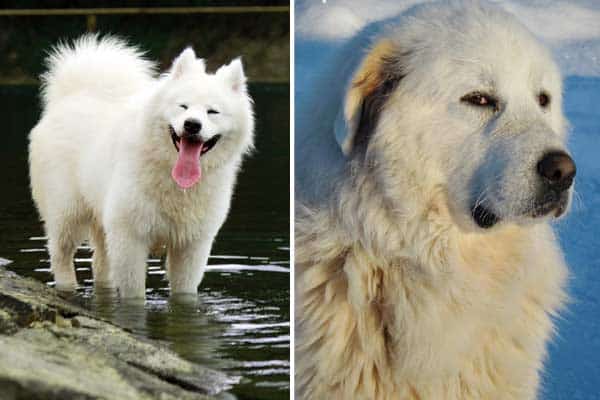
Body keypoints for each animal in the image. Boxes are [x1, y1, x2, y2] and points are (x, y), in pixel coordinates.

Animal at [29, 36, 253, 296]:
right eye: (183, 106)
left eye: (213, 112)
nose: (192, 125)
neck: (173, 179)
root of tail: (74, 94)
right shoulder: (130, 239)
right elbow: (134, 295)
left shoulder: (192, 245)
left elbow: (184, 294)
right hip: (67, 212)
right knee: (61, 254)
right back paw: (67, 287)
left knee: (100, 263)